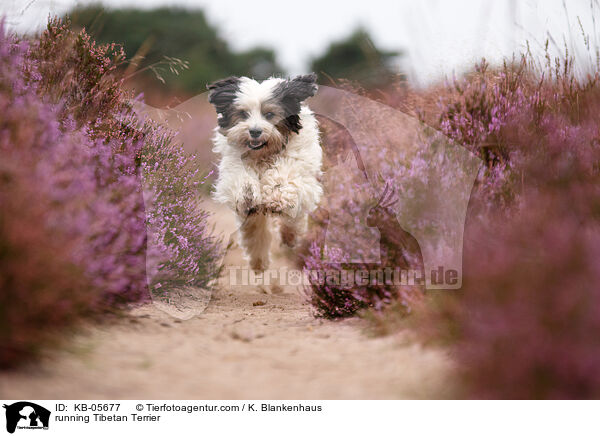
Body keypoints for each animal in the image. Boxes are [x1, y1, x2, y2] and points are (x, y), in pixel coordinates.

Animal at [210, 74, 324, 270]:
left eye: (269, 114)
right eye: (243, 114)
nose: (255, 131)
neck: (264, 154)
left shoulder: (300, 170)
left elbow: (285, 178)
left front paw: (277, 196)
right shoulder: (233, 165)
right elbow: (241, 180)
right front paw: (248, 194)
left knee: (294, 220)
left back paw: (289, 236)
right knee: (254, 230)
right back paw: (258, 261)